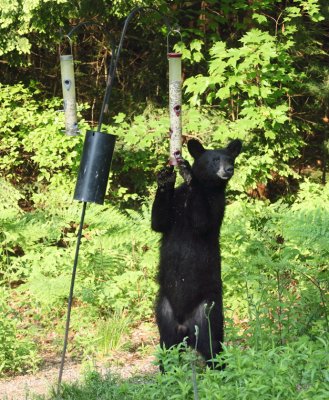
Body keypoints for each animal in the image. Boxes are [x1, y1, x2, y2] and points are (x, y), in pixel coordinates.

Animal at [151, 139, 241, 368]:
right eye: (215, 159)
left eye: (230, 158)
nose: (229, 169)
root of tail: (185, 327)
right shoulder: (176, 202)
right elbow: (159, 221)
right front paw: (165, 178)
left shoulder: (217, 204)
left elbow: (202, 222)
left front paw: (189, 172)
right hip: (164, 312)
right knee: (166, 349)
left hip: (207, 311)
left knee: (213, 347)